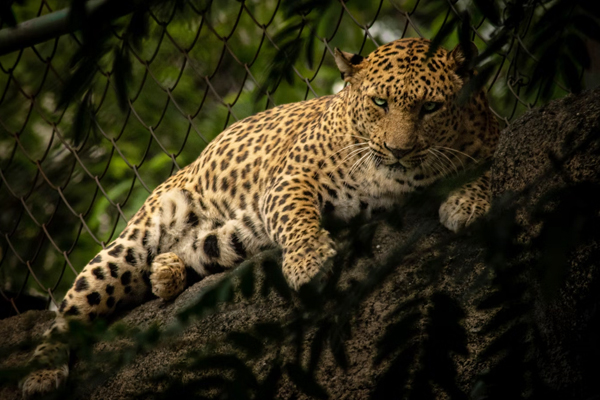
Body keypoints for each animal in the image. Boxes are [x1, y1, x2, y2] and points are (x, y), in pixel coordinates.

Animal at [21, 38, 500, 396]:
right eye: (380, 103)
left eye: (431, 108)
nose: (399, 150)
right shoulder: (293, 177)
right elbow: (297, 216)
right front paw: (309, 261)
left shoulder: (483, 140)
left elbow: (482, 168)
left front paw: (468, 204)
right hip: (135, 239)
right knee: (70, 311)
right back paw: (41, 375)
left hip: (225, 241)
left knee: (190, 253)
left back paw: (167, 273)